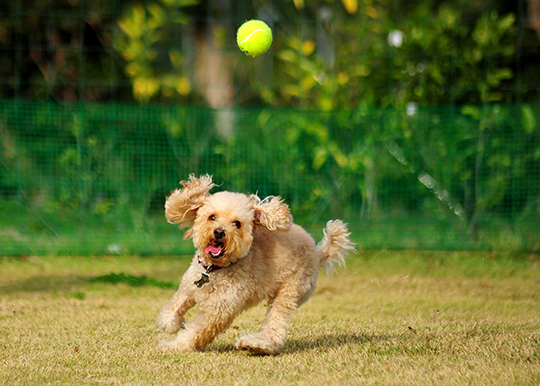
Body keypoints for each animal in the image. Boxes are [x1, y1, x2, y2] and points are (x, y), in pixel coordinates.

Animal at [157, 173, 354, 354]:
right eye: (212, 217)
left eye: (237, 224)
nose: (219, 232)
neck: (215, 270)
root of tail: (318, 252)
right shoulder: (189, 287)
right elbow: (171, 310)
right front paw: (176, 323)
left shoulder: (219, 312)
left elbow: (196, 333)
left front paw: (173, 346)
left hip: (290, 290)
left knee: (276, 326)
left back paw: (257, 344)